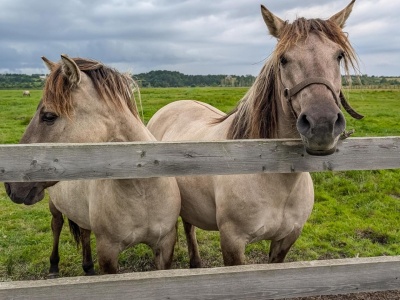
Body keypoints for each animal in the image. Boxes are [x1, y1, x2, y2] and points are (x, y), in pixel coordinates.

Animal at [3, 55, 180, 276]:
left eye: (49, 116)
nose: (10, 186)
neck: (143, 191)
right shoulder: (108, 251)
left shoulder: (165, 245)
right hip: (55, 206)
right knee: (56, 226)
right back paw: (54, 266)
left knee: (84, 231)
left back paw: (88, 267)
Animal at [148, 0, 362, 268]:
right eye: (283, 59)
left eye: (338, 55)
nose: (322, 125)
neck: (274, 178)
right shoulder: (233, 242)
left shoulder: (285, 241)